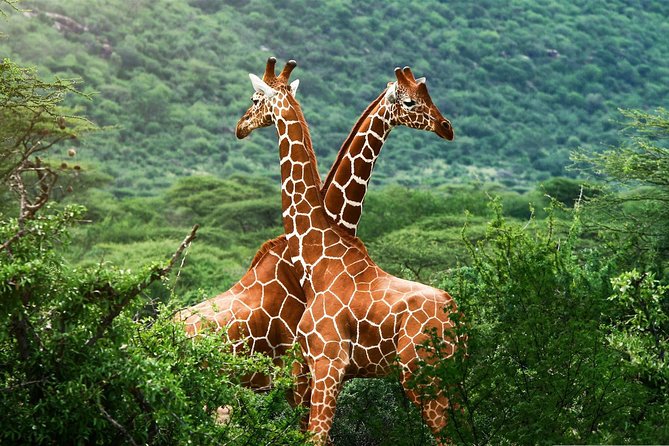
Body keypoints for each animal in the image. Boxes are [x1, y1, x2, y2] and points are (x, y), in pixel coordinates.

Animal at [235, 58, 461, 445]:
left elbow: (316, 437)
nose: (240, 126)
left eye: (254, 99)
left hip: (423, 374)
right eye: (411, 101)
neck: (318, 254)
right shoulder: (313, 368)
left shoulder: (327, 362)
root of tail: (456, 316)